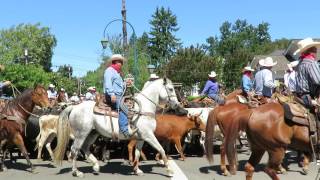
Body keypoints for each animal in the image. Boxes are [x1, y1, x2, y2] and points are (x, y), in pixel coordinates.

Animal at [53, 77, 181, 177]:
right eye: (170, 89)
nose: (177, 104)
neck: (144, 109)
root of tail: (74, 107)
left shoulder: (141, 138)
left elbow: (137, 153)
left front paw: (137, 170)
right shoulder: (149, 136)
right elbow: (161, 149)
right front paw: (169, 171)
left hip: (93, 133)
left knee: (85, 148)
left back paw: (96, 166)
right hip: (81, 134)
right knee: (75, 150)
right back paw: (77, 172)